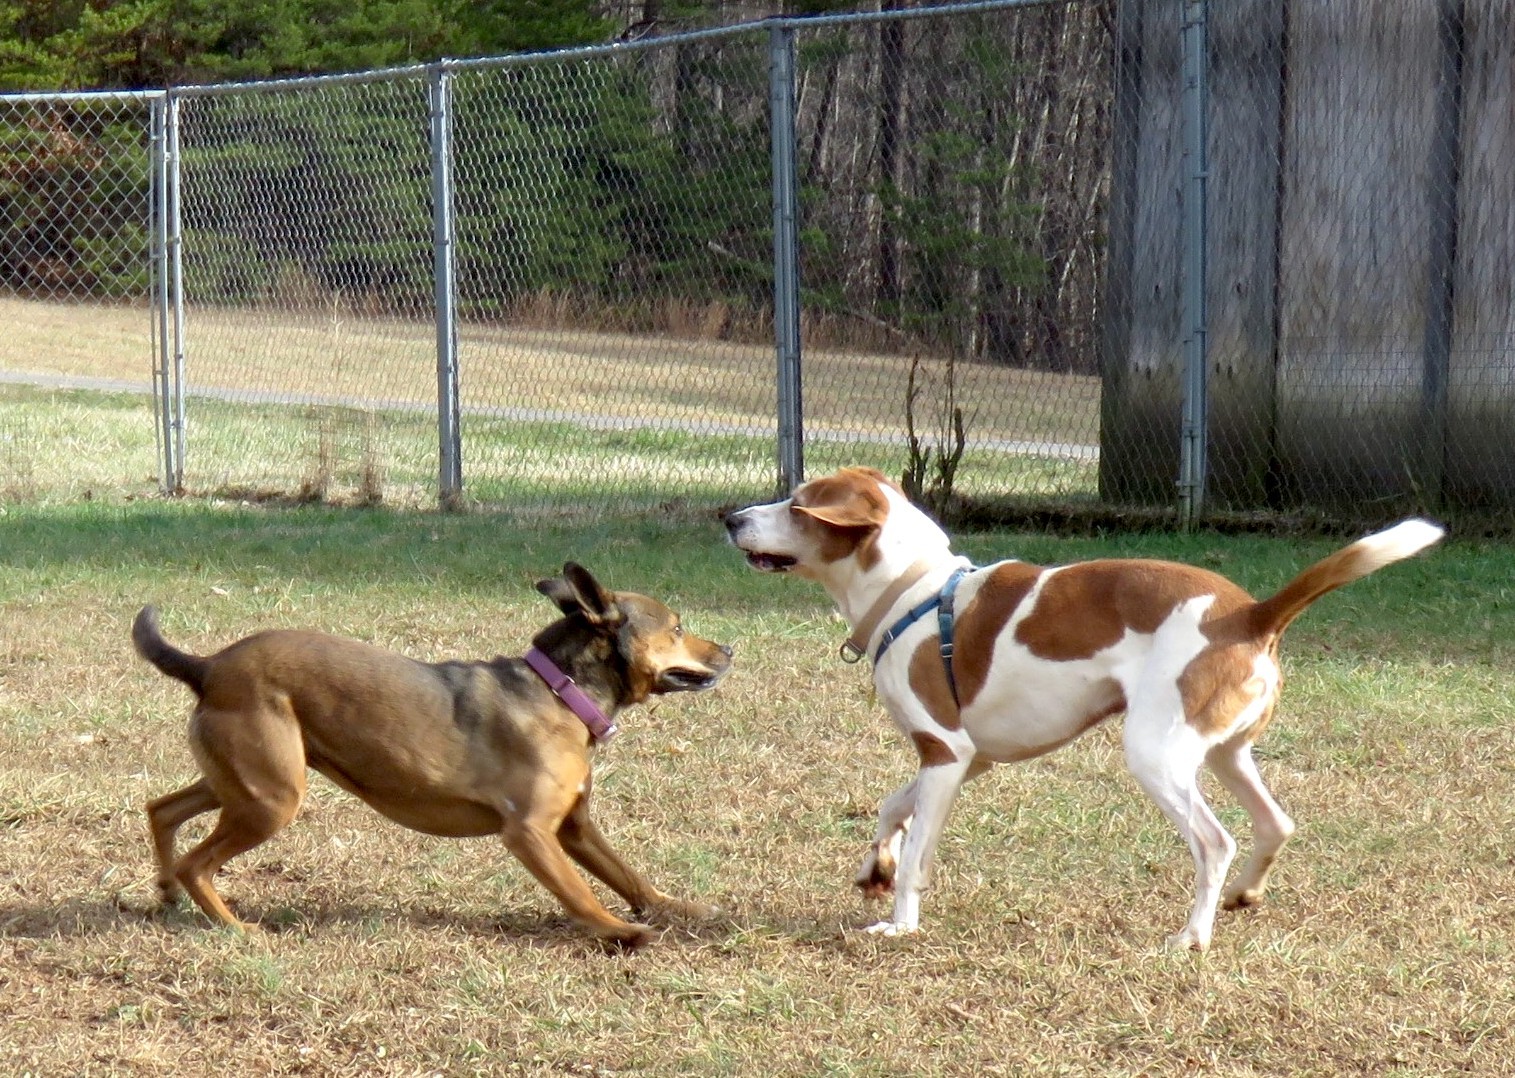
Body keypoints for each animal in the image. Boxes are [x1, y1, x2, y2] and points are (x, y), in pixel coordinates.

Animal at [133, 563, 736, 944]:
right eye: (678, 627)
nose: (730, 648)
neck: (559, 690)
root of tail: (209, 666)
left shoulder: (575, 828)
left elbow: (627, 874)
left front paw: (676, 908)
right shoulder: (531, 833)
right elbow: (580, 892)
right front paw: (620, 931)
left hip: (242, 782)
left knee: (161, 809)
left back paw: (165, 893)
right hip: (271, 798)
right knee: (196, 862)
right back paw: (234, 927)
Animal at [727, 466, 1448, 944]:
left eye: (797, 506)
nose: (730, 517)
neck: (912, 592)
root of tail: (1249, 614)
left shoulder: (944, 751)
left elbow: (913, 858)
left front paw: (899, 922)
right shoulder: (964, 758)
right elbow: (891, 809)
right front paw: (872, 866)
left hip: (1155, 756)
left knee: (1214, 842)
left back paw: (1192, 937)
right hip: (1224, 752)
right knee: (1276, 824)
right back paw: (1244, 895)